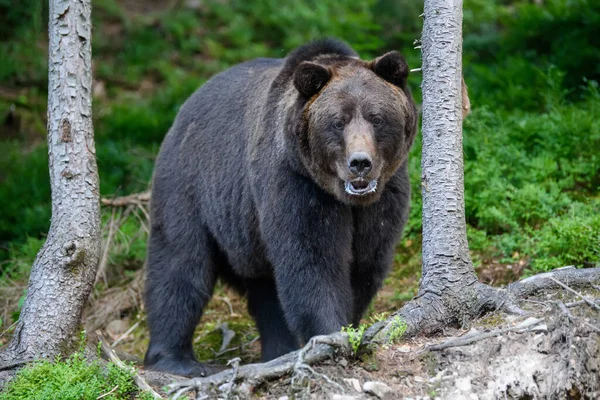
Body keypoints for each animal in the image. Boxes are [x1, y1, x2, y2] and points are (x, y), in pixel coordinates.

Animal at [145, 39, 418, 376]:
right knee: (180, 265)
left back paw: (277, 351)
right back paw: (176, 359)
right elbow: (313, 261)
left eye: (376, 117)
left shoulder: (384, 200)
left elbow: (365, 263)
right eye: (337, 121)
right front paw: (329, 336)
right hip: (190, 186)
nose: (360, 163)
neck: (347, 200)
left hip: (247, 234)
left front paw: (351, 327)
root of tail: (184, 109)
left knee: (266, 293)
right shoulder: (296, 184)